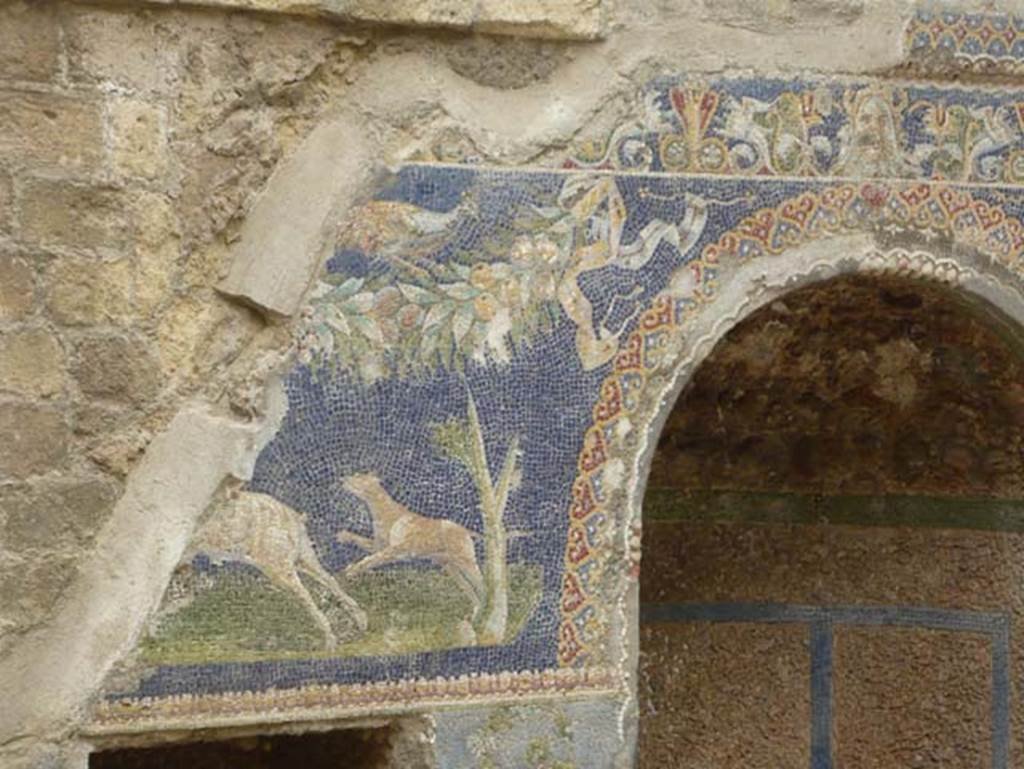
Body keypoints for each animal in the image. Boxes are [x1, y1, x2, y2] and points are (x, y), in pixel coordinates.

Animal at [182, 487, 370, 651]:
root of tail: (292, 516)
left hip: (279, 568)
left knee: (307, 595)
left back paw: (330, 638)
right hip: (303, 559)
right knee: (330, 581)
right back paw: (360, 621)